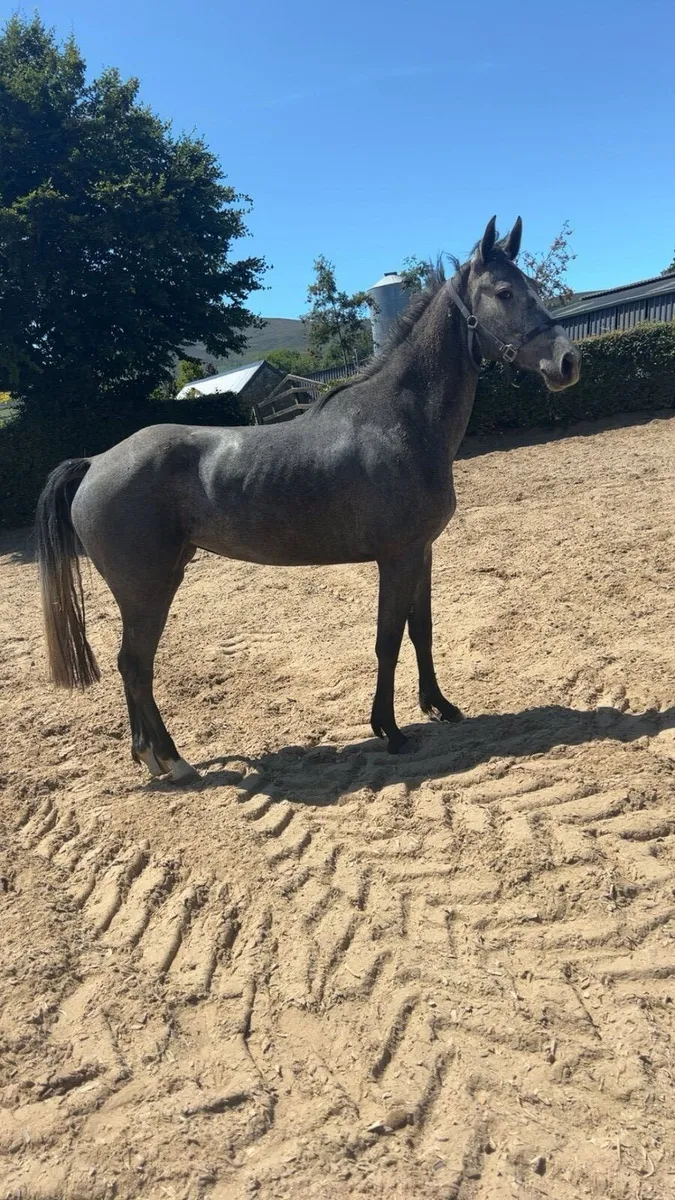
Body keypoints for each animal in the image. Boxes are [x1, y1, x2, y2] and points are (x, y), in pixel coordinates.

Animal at [35, 217, 581, 782]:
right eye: (504, 292)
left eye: (532, 286)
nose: (568, 362)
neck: (399, 419)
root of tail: (96, 461)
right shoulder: (396, 558)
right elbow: (387, 640)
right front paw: (390, 730)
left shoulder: (422, 553)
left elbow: (421, 631)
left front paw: (440, 707)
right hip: (147, 590)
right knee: (135, 665)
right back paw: (172, 760)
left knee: (132, 667)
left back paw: (152, 758)